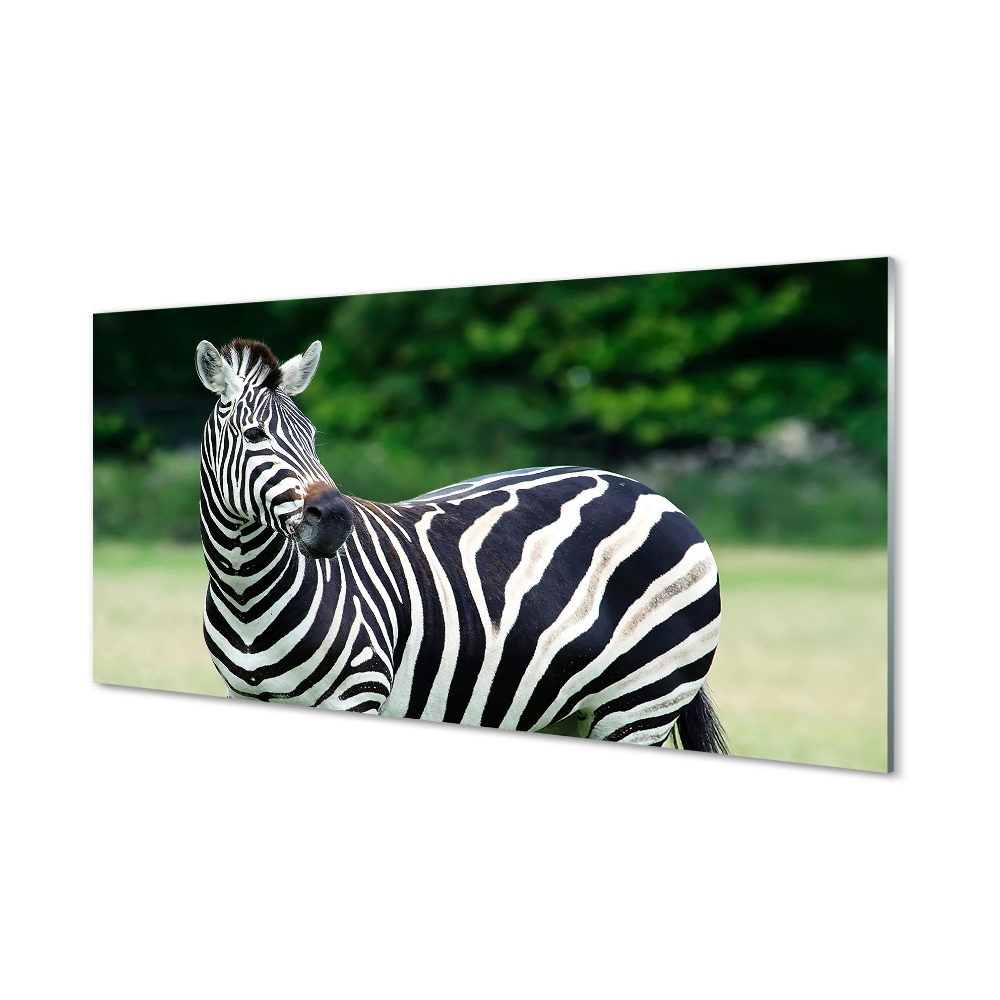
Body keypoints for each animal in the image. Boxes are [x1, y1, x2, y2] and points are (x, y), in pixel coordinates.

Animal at [196, 337, 727, 752]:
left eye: (311, 436)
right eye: (254, 434)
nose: (337, 521)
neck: (246, 593)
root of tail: (648, 491)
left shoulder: (359, 695)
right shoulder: (242, 699)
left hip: (642, 707)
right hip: (566, 714)